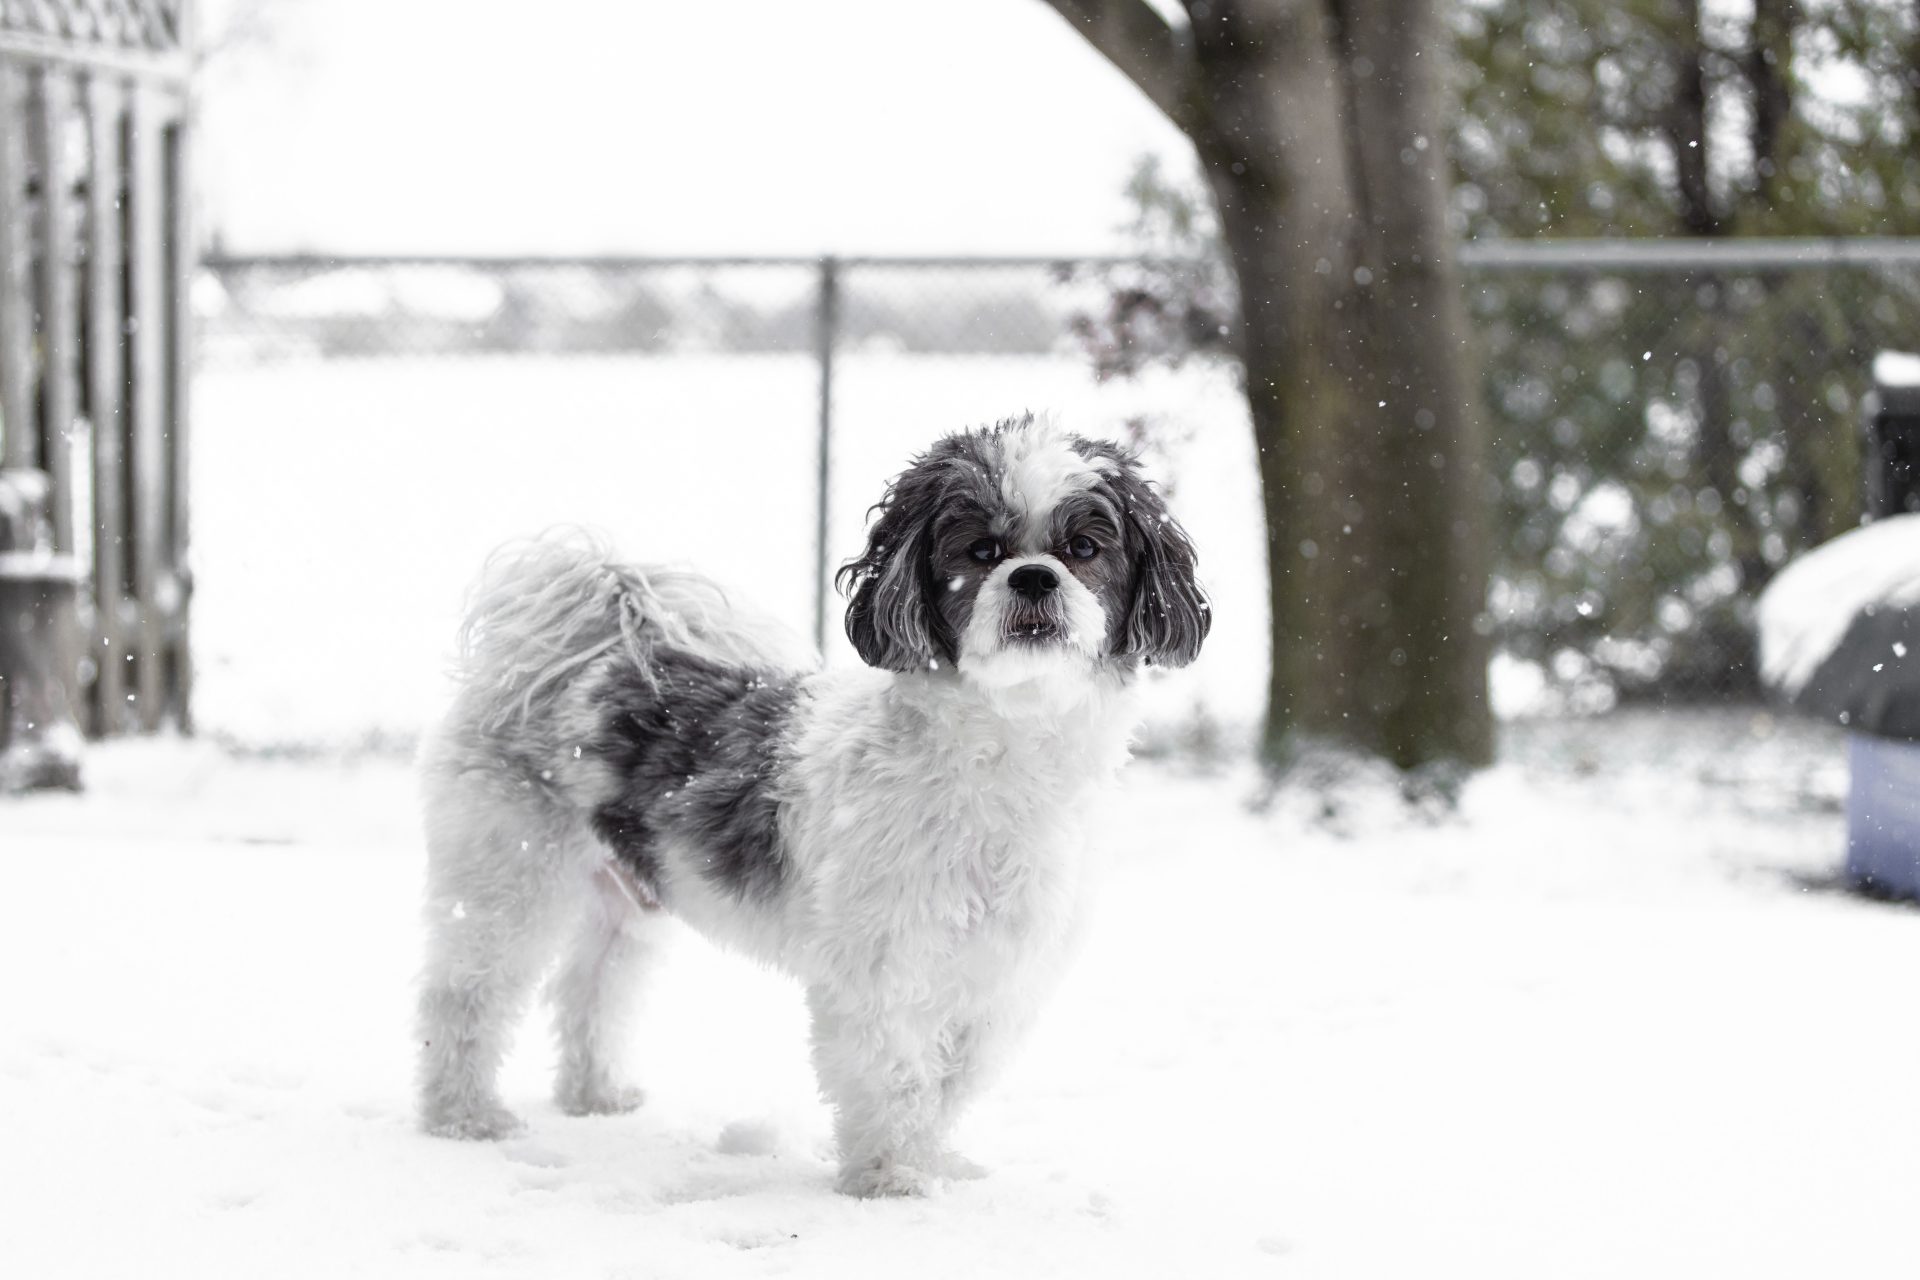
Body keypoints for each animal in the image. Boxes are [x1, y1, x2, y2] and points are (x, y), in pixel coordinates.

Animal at [412, 416, 1205, 1197]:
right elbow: (894, 1075)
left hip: (628, 900)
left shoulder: (998, 977)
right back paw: (462, 1115)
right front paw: (889, 1177)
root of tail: (588, 643)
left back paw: (596, 1094)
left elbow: (950, 1081)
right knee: (466, 994)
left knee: (592, 990)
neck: (1004, 755)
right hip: (508, 874)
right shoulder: (879, 966)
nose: (1035, 575)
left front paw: (935, 1161)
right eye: (981, 551)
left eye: (1084, 548)